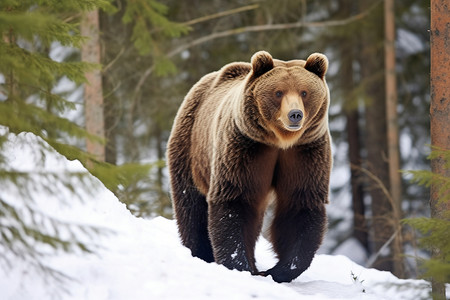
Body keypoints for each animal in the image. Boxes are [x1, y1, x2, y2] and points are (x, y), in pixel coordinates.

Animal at [167, 50, 332, 282]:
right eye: (278, 92)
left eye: (304, 92)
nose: (295, 114)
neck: (280, 141)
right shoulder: (245, 147)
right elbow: (235, 200)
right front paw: (239, 265)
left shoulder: (305, 152)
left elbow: (300, 204)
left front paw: (278, 270)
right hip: (190, 146)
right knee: (191, 204)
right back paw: (199, 252)